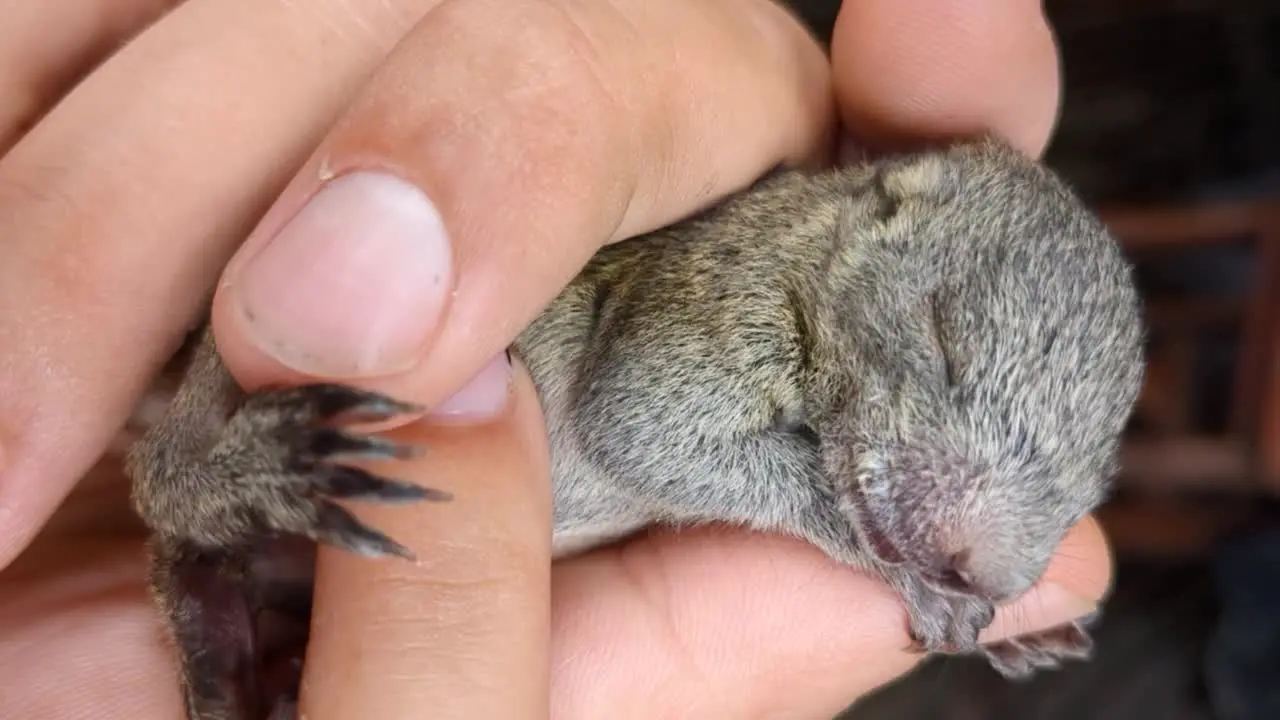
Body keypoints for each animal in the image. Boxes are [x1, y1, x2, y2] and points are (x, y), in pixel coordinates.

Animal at [127, 135, 1152, 717]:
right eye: (940, 342)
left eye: (1097, 482)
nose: (985, 571)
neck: (811, 244)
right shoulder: (713, 300)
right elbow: (643, 431)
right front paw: (915, 579)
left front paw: (1011, 625)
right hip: (240, 361)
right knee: (164, 485)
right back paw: (251, 496)